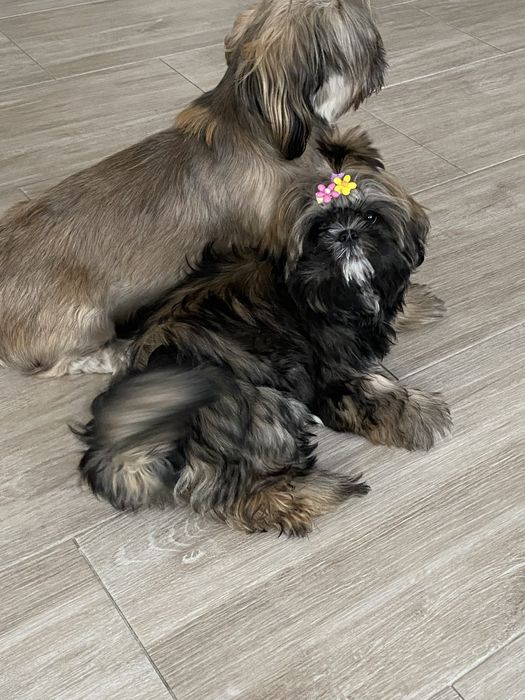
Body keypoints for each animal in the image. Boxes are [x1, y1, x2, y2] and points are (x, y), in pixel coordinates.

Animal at [76, 132, 451, 537]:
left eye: (370, 216)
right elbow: (371, 387)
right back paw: (316, 496)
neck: (337, 288)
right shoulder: (330, 369)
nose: (347, 234)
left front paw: (418, 305)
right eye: (319, 229)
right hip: (261, 408)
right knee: (246, 494)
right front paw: (420, 413)